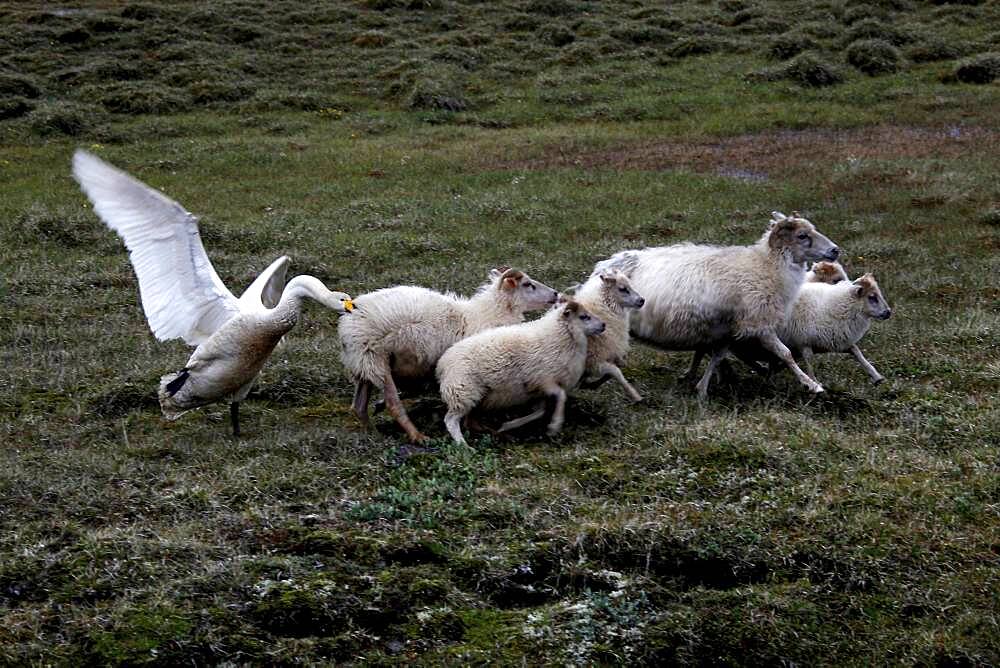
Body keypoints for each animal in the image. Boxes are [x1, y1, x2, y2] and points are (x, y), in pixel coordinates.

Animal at [338, 266, 560, 444]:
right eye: (528, 284)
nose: (556, 294)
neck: (485, 314)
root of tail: (349, 316)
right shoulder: (469, 371)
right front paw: (474, 426)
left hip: (364, 362)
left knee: (358, 405)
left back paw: (373, 434)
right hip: (376, 360)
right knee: (394, 404)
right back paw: (417, 436)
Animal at [436, 298, 604, 446]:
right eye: (584, 316)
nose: (604, 324)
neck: (558, 335)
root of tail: (443, 362)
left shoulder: (538, 390)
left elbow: (540, 411)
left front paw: (509, 425)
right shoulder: (544, 380)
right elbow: (561, 397)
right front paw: (554, 426)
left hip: (475, 394)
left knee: (466, 420)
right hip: (463, 391)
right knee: (450, 420)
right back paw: (463, 444)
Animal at [596, 210, 840, 396]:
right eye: (802, 235)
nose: (835, 250)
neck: (767, 266)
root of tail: (606, 266)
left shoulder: (727, 328)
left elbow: (716, 356)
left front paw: (703, 385)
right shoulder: (758, 321)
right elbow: (785, 353)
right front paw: (811, 384)